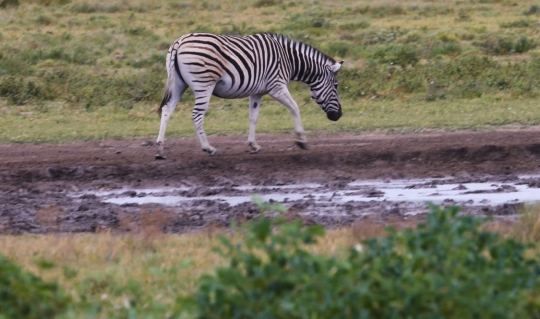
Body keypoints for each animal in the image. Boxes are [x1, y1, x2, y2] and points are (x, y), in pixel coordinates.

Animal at [154, 32, 344, 160]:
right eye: (336, 86)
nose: (338, 115)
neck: (288, 60)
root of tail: (179, 42)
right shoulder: (277, 86)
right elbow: (295, 108)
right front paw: (301, 140)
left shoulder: (257, 92)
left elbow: (253, 117)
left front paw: (253, 145)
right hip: (203, 84)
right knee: (196, 116)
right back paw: (209, 148)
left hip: (178, 84)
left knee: (167, 110)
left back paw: (160, 150)